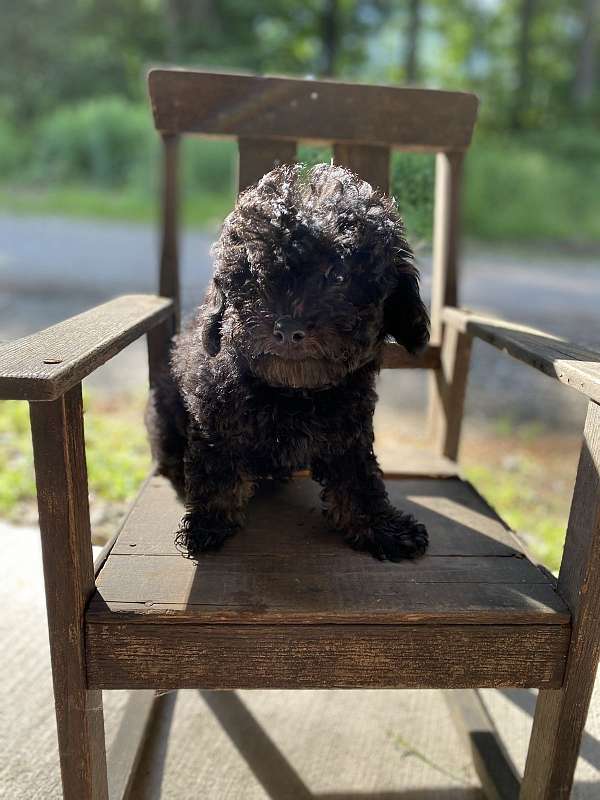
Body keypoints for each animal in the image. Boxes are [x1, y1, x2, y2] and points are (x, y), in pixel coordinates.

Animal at [149, 163, 432, 564]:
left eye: (338, 276)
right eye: (255, 275)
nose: (287, 329)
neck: (293, 392)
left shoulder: (349, 432)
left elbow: (359, 479)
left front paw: (382, 527)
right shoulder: (214, 422)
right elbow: (217, 472)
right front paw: (210, 524)